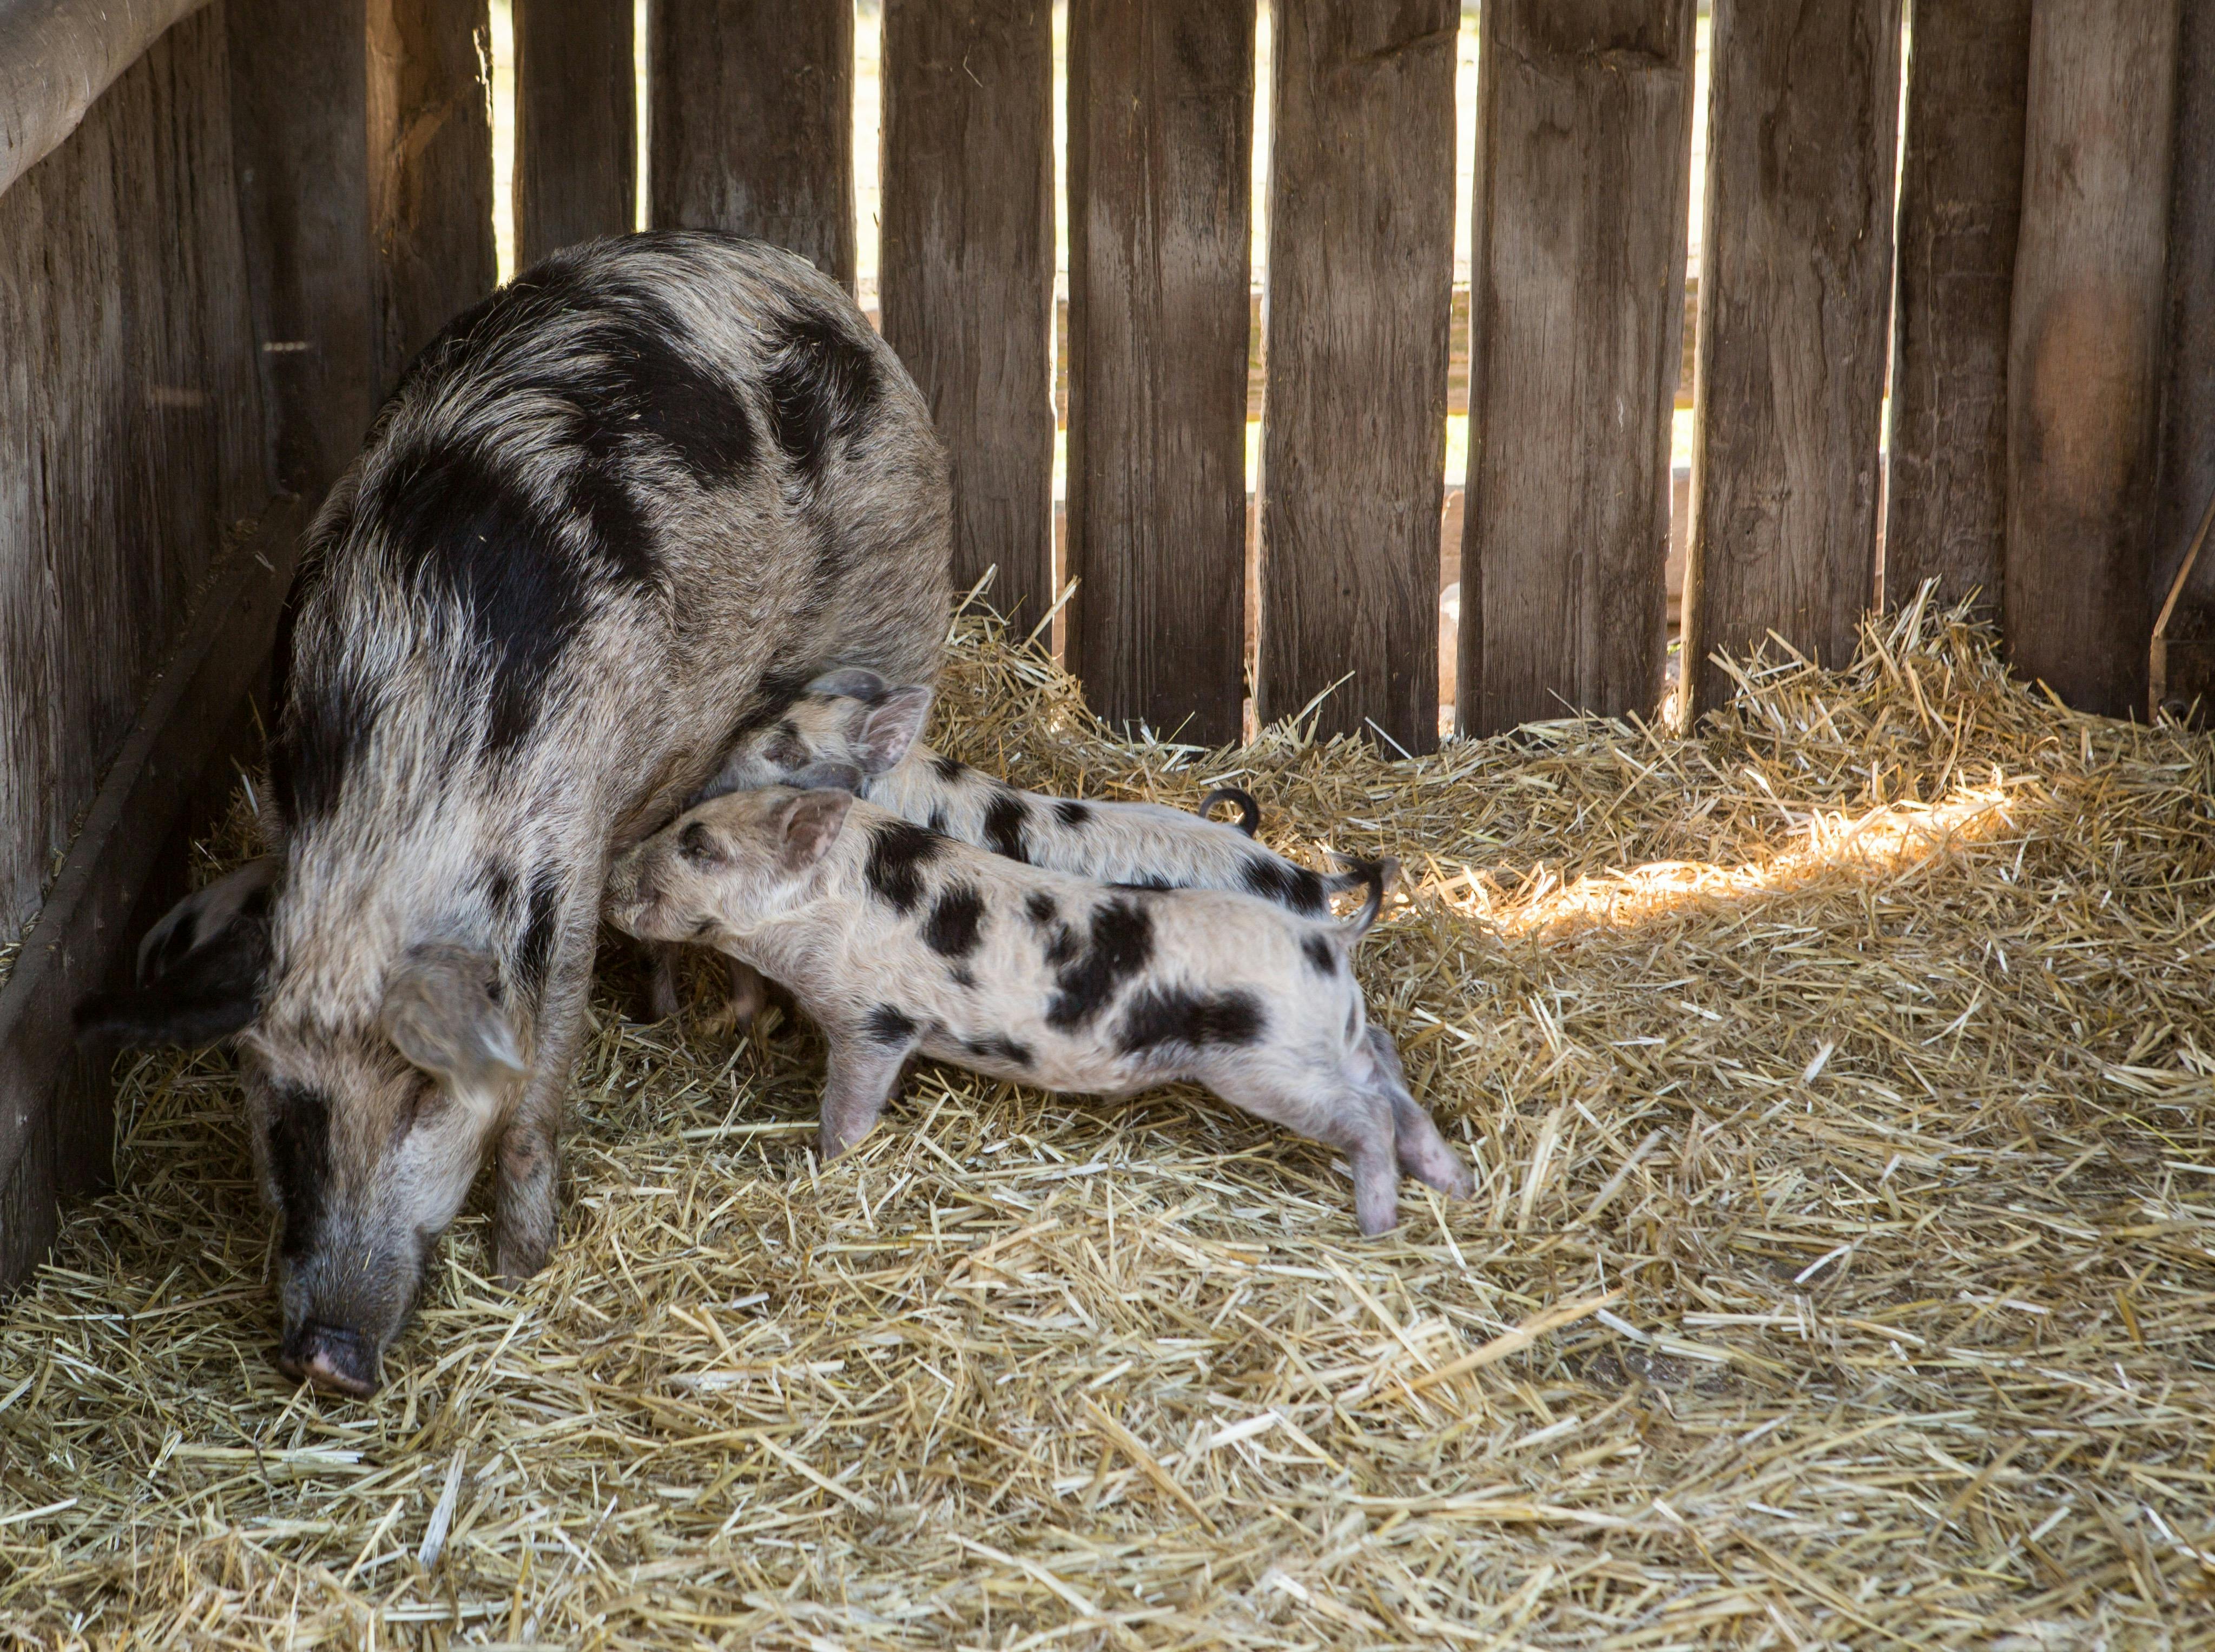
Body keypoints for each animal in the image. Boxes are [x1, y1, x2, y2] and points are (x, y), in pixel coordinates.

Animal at [84, 232, 952, 1396]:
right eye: (286, 1112)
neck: (407, 784)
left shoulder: (565, 851)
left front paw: (520, 1269)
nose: (328, 1356)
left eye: (424, 1096)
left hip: (897, 597)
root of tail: (791, 271)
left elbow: (541, 1081)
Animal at [605, 787, 1474, 1235]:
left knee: (1365, 1112)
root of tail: (1326, 940)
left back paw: (1376, 1225)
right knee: (1386, 1072)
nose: (611, 874)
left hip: (1268, 1062)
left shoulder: (871, 1019)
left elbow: (848, 1105)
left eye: (700, 846)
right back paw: (1454, 1182)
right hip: (1331, 1041)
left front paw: (819, 1165)